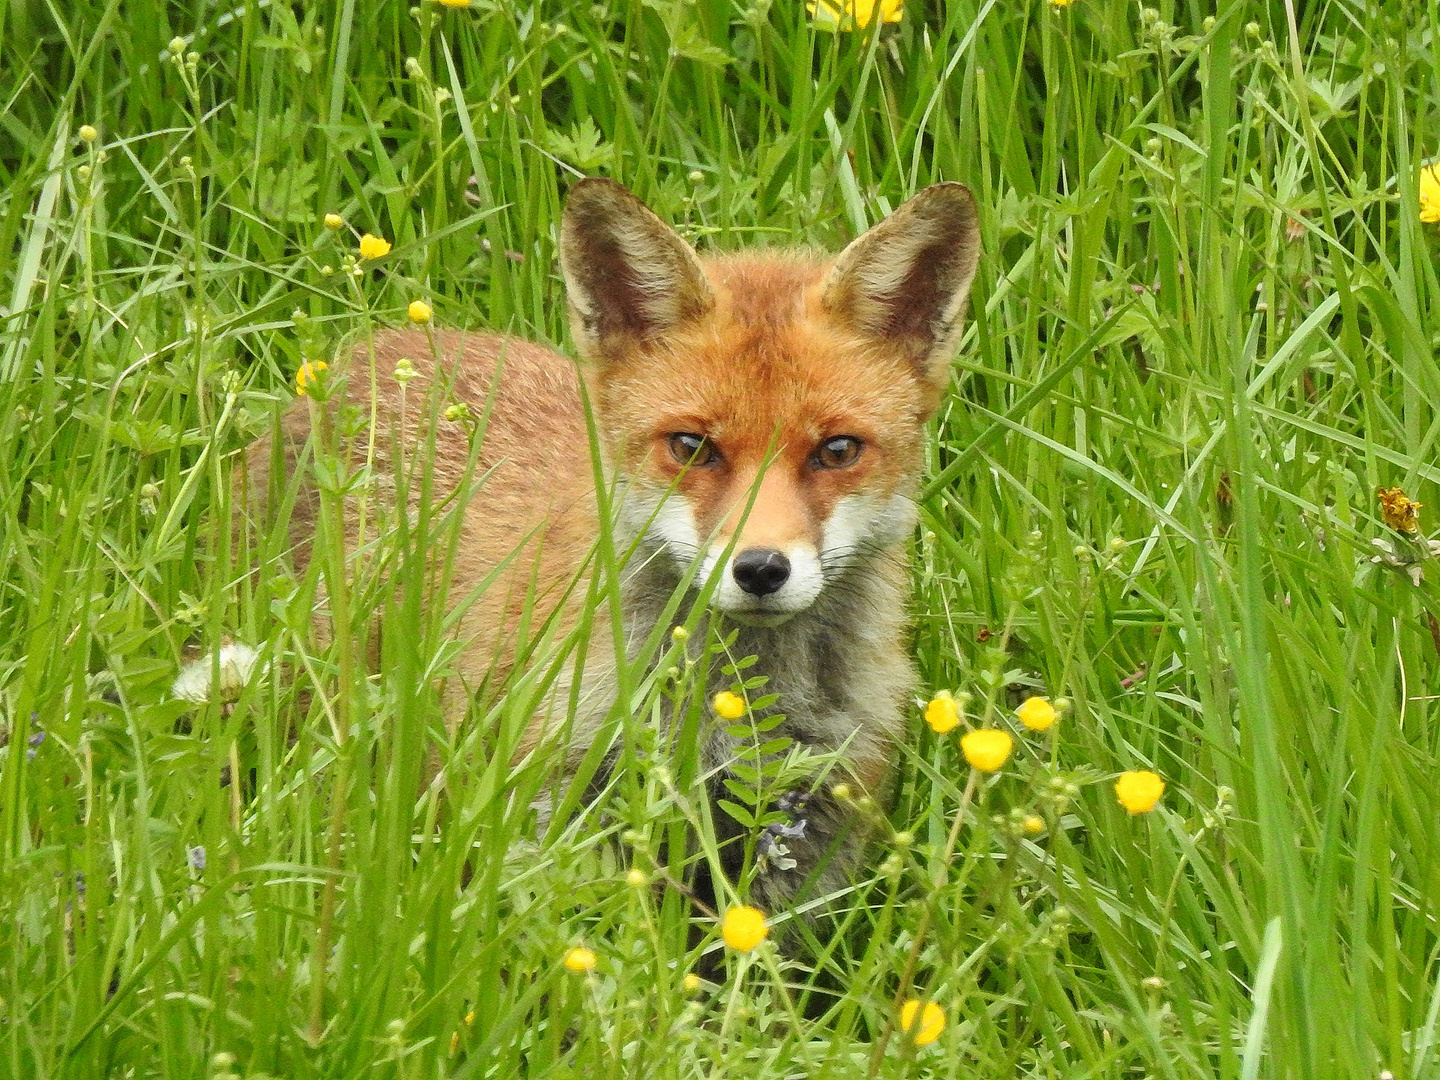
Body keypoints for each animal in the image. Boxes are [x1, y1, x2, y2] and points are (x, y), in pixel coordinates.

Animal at [247, 177, 984, 915]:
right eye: (692, 446)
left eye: (837, 451)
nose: (760, 569)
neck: (729, 703)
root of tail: (364, 354)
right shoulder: (557, 799)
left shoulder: (814, 822)